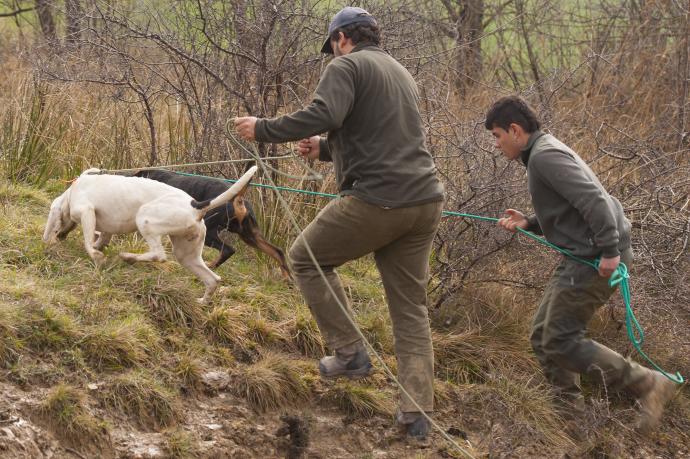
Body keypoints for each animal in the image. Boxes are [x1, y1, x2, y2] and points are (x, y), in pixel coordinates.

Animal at [43, 167, 258, 304]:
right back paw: (202, 302)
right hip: (187, 256)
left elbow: (89, 243)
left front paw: (96, 257)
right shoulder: (106, 230)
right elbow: (100, 239)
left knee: (158, 255)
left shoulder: (87, 212)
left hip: (145, 220)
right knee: (213, 280)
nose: (59, 237)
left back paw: (129, 257)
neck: (72, 191)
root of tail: (196, 206)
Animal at [133, 168, 288, 280]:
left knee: (228, 250)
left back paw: (209, 267)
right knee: (277, 251)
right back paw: (286, 278)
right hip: (250, 235)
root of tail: (237, 199)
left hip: (208, 232)